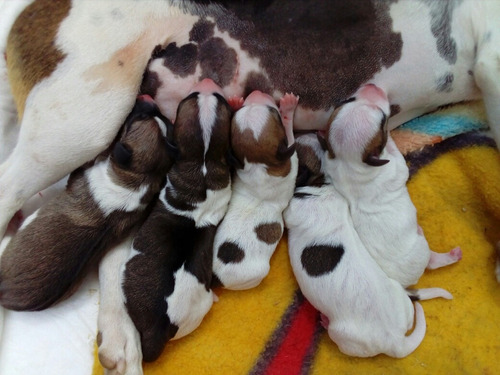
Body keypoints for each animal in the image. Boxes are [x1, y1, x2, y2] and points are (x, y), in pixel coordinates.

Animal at [0, 96, 176, 312]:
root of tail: (4, 294)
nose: (146, 98)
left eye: (137, 118)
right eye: (157, 116)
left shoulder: (82, 174)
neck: (140, 176)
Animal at [118, 79, 232, 364]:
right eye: (222, 102)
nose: (207, 82)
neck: (203, 161)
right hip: (198, 309)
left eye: (183, 102)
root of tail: (162, 328)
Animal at [213, 91, 298, 290]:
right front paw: (288, 110)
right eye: (274, 113)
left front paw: (234, 103)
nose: (256, 92)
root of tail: (216, 279)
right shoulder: (291, 161)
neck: (257, 164)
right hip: (254, 275)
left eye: (242, 108)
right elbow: (291, 137)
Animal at [286, 134, 454, 360]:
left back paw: (325, 321)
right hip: (400, 296)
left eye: (296, 151)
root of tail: (395, 341)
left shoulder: (293, 209)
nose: (308, 134)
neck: (320, 183)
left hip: (344, 337)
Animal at [320, 83, 460, 286]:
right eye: (383, 120)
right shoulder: (395, 168)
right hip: (421, 250)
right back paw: (450, 253)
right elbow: (400, 163)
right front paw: (392, 141)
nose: (372, 85)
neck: (348, 161)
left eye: (349, 100)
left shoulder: (331, 164)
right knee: (432, 262)